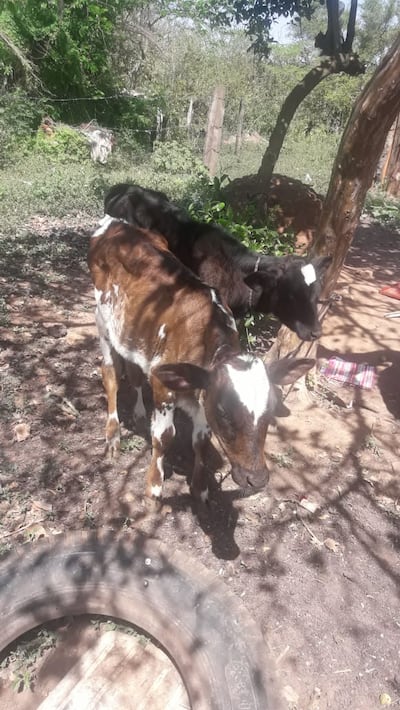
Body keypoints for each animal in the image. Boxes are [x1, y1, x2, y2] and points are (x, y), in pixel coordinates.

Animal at [89, 215, 314, 501]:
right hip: (102, 321)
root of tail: (114, 223)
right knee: (110, 376)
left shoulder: (203, 392)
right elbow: (164, 437)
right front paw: (154, 487)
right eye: (224, 412)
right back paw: (112, 436)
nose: (256, 479)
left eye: (272, 409)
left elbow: (202, 440)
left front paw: (200, 487)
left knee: (134, 370)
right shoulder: (163, 385)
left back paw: (139, 413)